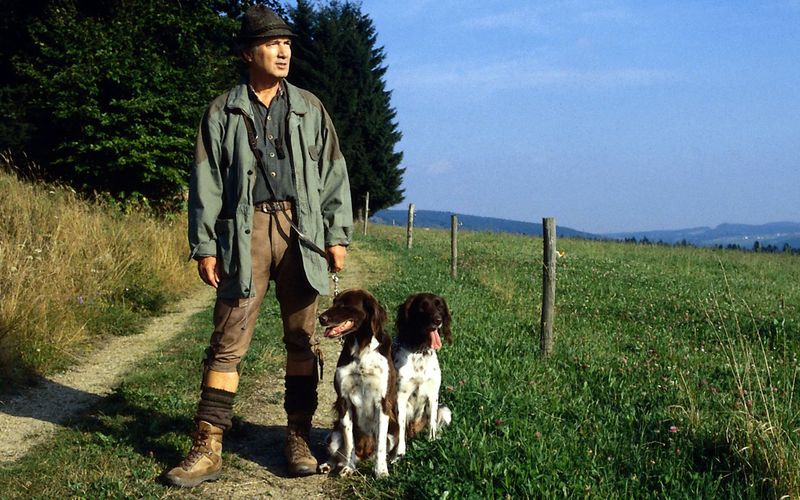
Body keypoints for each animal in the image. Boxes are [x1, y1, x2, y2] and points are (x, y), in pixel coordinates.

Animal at [316, 290, 396, 476]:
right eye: (334, 302)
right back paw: (328, 465)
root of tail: (363, 456)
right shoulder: (344, 400)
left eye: (346, 305)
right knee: (338, 452)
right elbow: (349, 442)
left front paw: (381, 472)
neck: (362, 351)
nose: (321, 318)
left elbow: (380, 445)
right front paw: (349, 468)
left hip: (393, 435)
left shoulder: (383, 403)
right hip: (333, 435)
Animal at [392, 292, 454, 460]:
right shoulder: (400, 396)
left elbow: (432, 423)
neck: (419, 350)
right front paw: (399, 454)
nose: (438, 320)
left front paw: (431, 442)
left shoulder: (433, 394)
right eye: (422, 307)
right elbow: (400, 428)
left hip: (445, 410)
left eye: (440, 306)